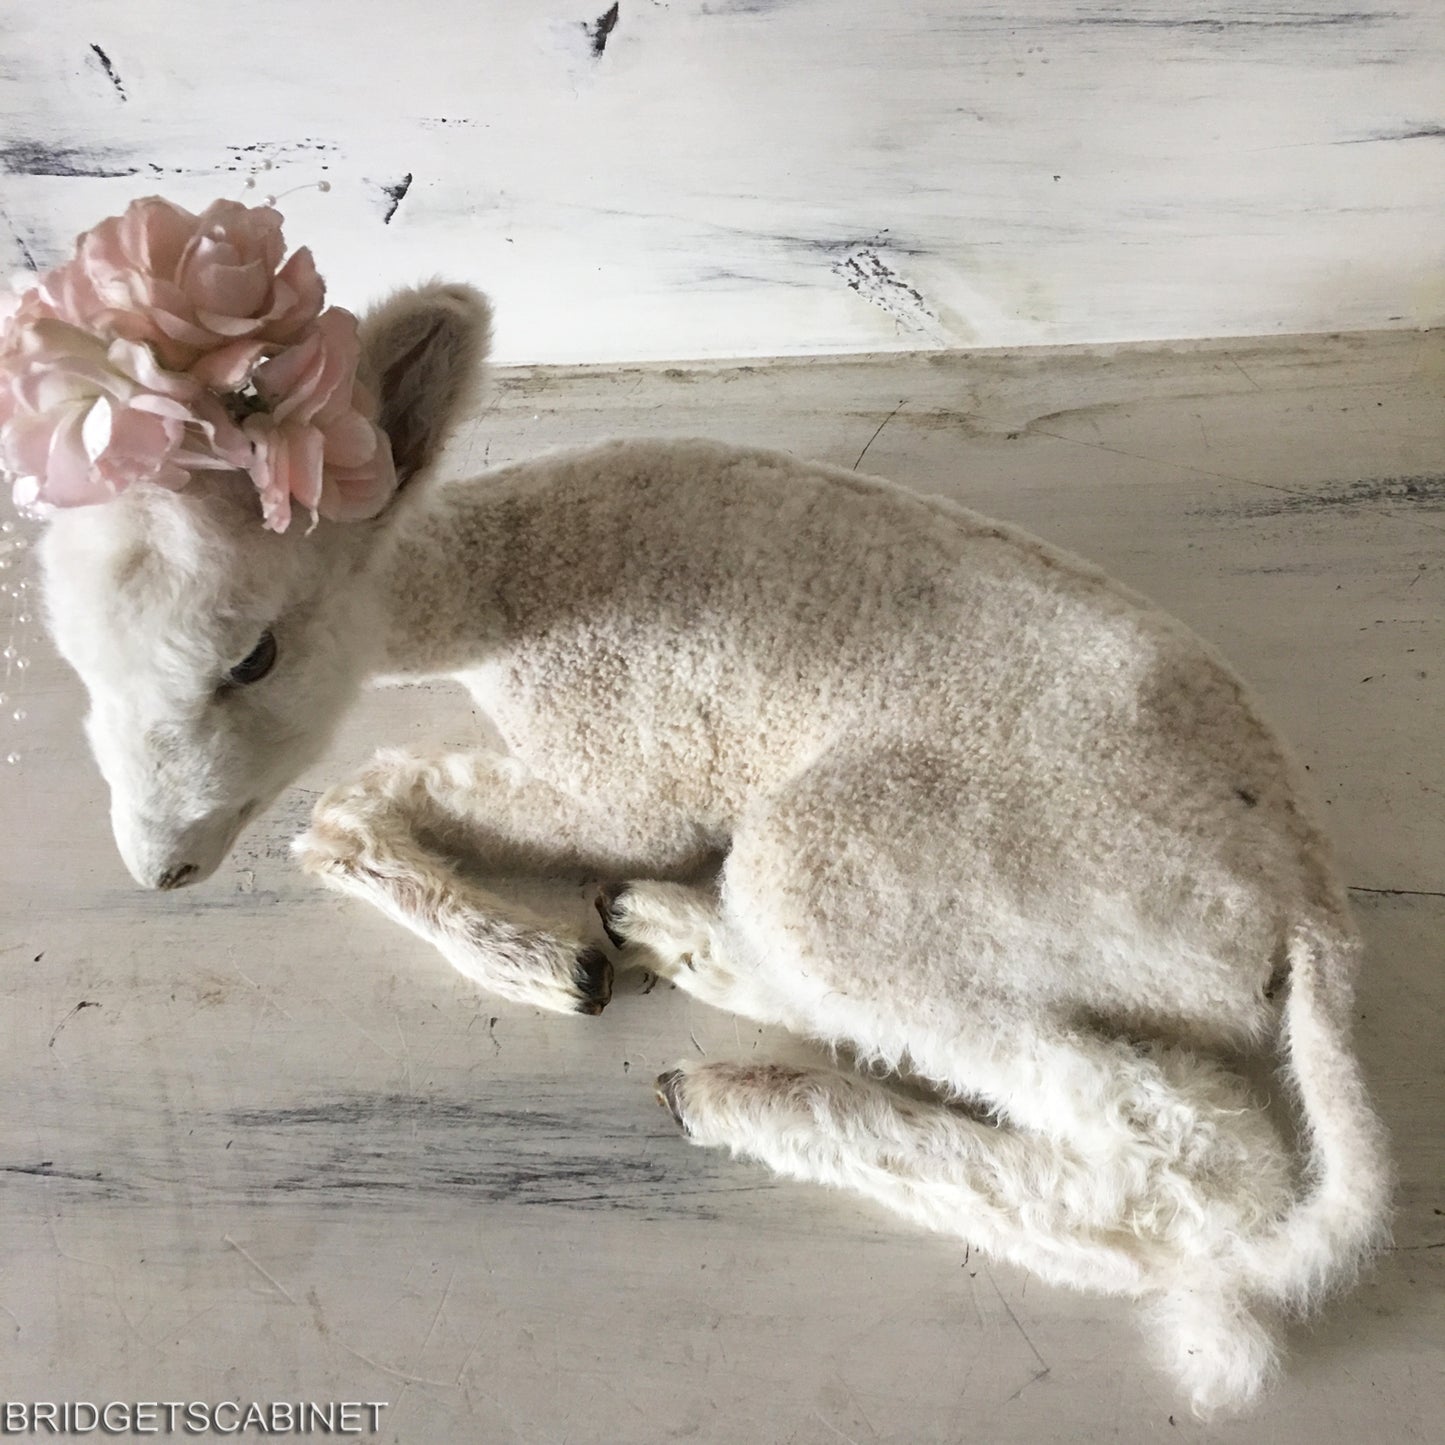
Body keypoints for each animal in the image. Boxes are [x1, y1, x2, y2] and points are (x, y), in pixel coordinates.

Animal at [36, 282, 1389, 1416]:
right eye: (72, 657)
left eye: (255, 653)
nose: (160, 869)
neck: (506, 583)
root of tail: (1306, 911)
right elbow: (350, 813)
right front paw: (549, 959)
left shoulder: (620, 768)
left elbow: (358, 801)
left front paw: (539, 962)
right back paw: (668, 938)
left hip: (880, 857)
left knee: (1192, 1166)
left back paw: (736, 1095)